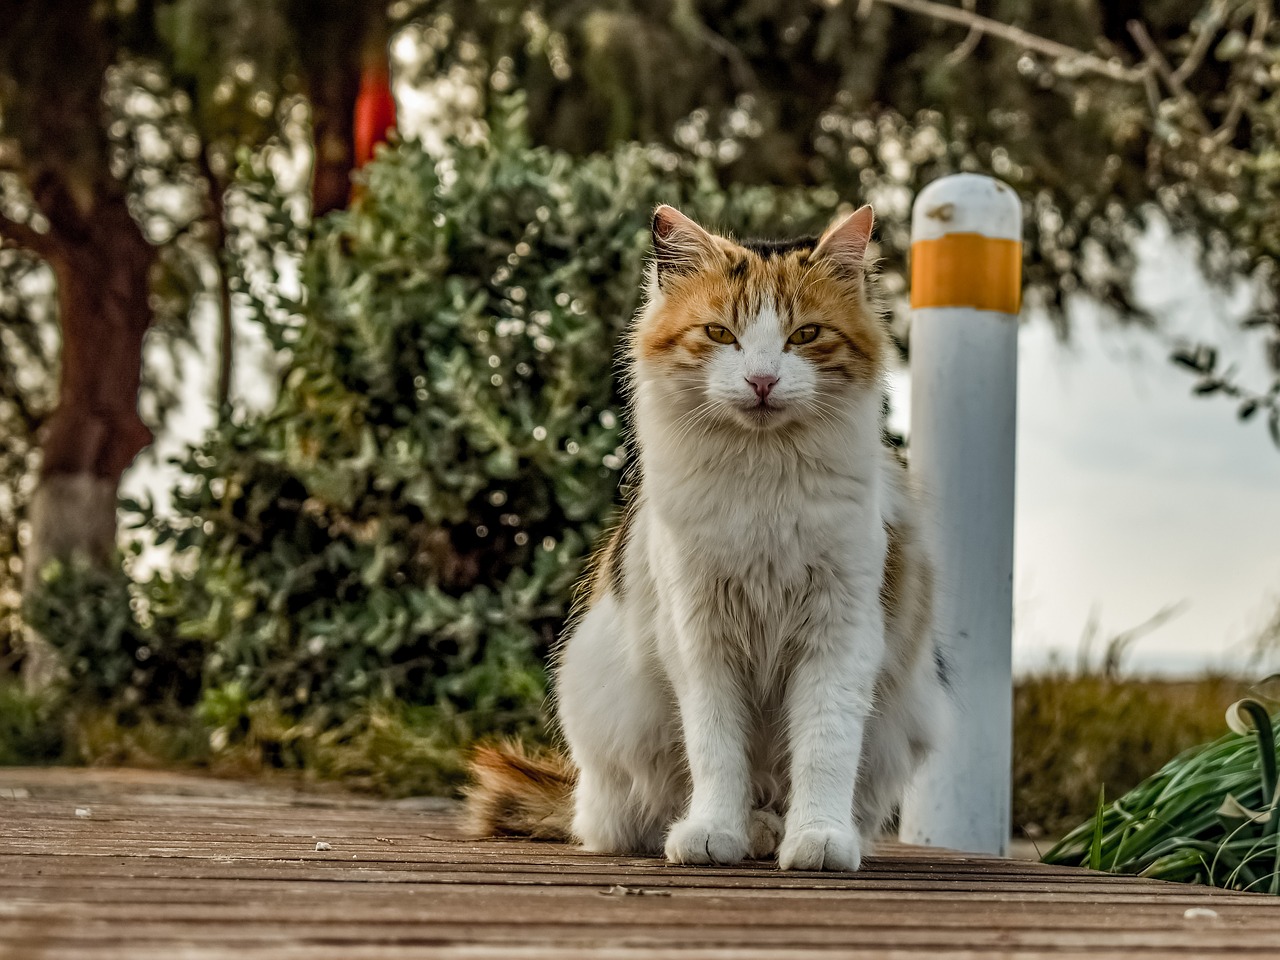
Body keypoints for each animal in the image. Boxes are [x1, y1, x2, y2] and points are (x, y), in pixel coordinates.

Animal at [465, 203, 947, 870]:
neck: (763, 482)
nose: (763, 380)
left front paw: (818, 837)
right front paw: (715, 831)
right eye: (721, 334)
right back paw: (746, 829)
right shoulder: (701, 636)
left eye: (805, 336)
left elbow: (825, 748)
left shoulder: (840, 633)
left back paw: (775, 829)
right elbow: (717, 750)